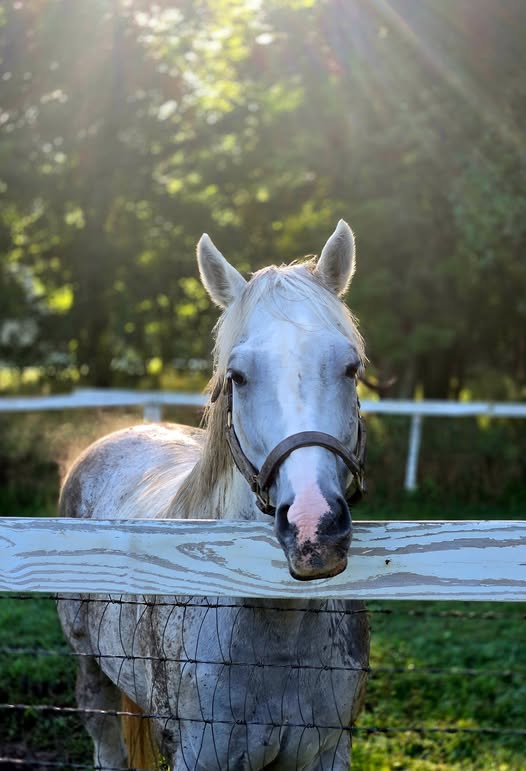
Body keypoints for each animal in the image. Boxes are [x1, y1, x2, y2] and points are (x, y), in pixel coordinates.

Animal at [57, 220, 371, 771]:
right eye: (237, 377)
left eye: (350, 368)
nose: (313, 529)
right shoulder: (200, 755)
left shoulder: (328, 750)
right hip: (92, 674)